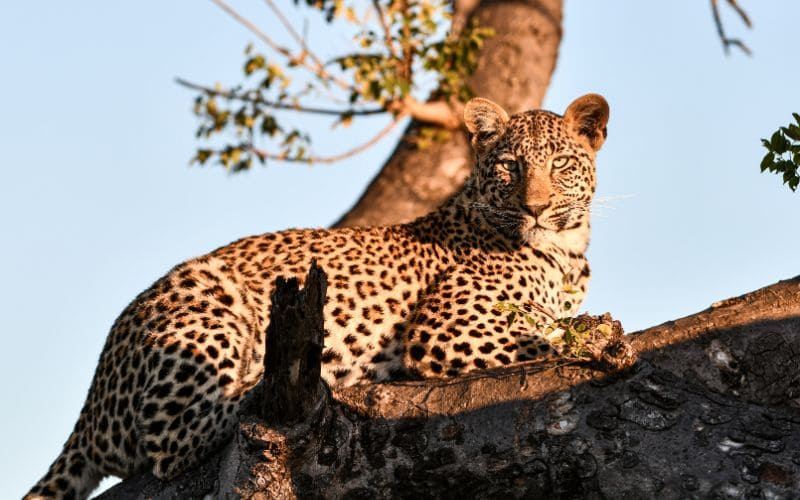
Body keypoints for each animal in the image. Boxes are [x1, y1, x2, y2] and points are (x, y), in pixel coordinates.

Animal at [26, 93, 609, 500]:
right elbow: (542, 337)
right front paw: (599, 340)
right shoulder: (444, 329)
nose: (535, 207)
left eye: (560, 164)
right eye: (509, 165)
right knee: (173, 443)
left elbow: (548, 324)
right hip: (205, 296)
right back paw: (291, 382)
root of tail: (91, 405)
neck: (566, 251)